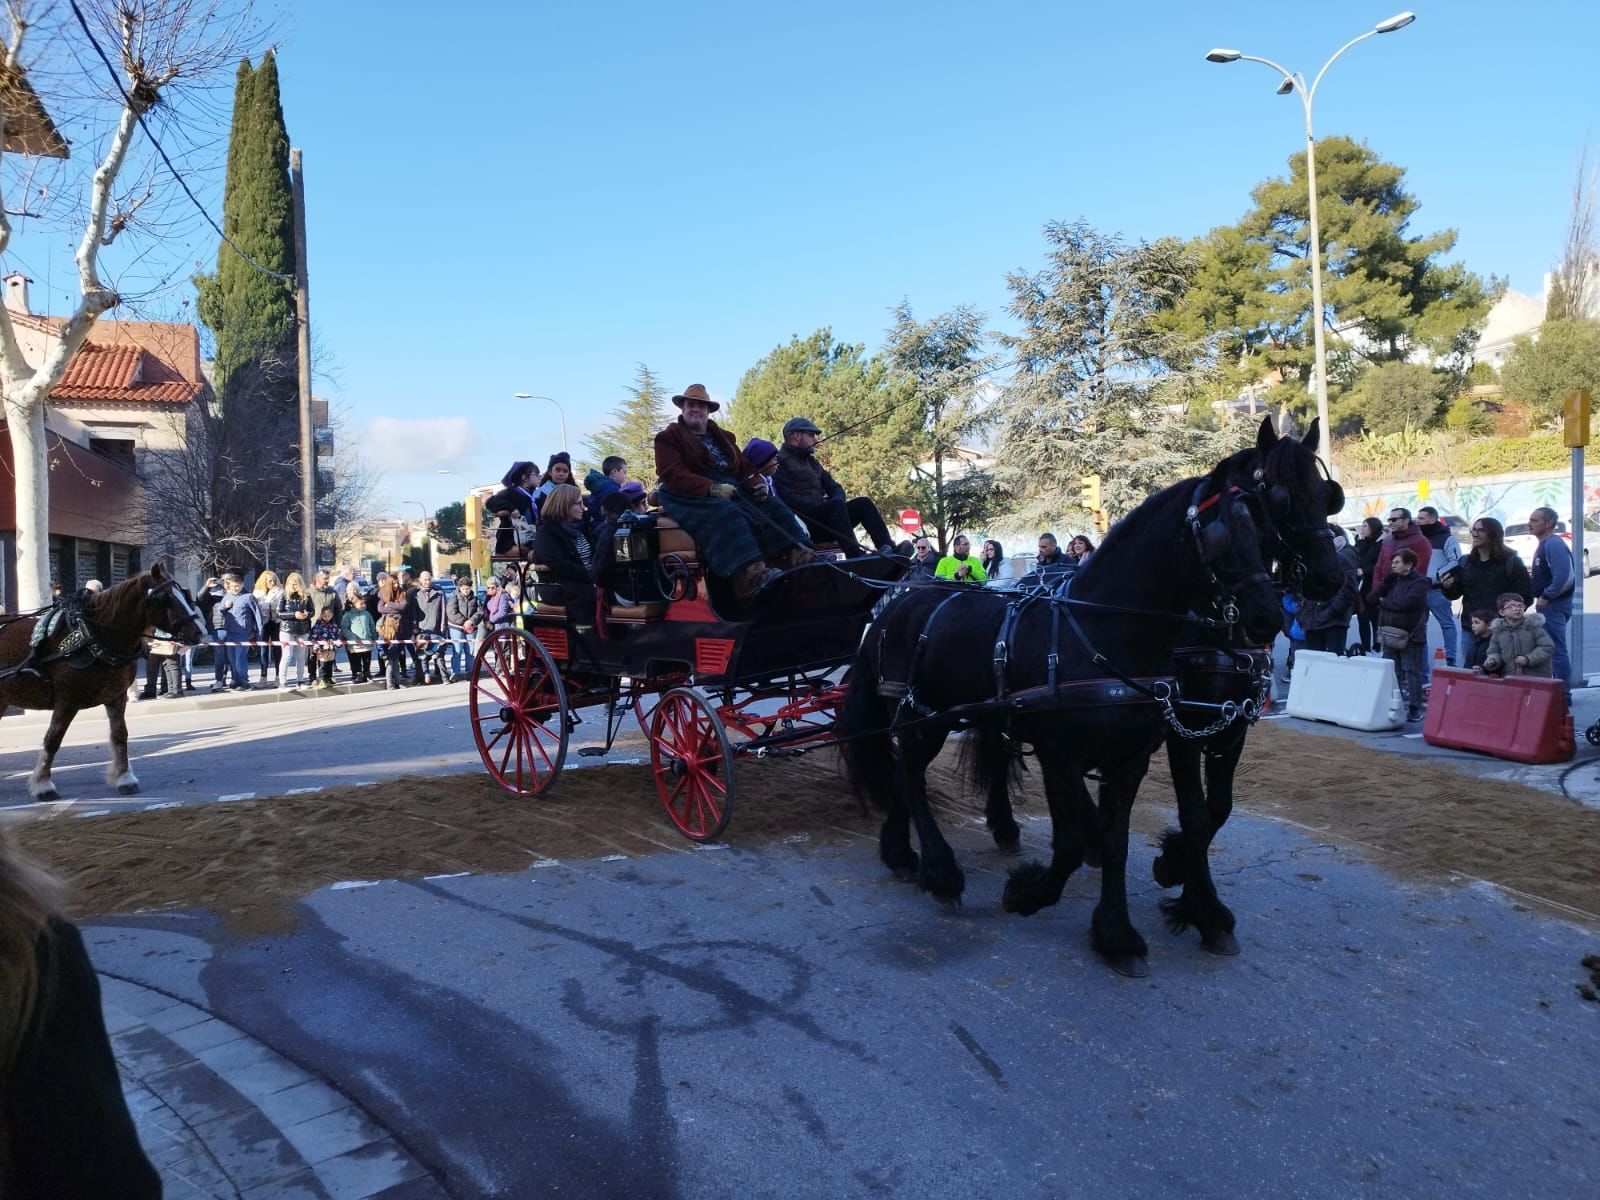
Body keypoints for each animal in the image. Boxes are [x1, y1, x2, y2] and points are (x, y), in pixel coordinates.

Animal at [0, 566, 206, 809]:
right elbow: (53, 739)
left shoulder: (116, 696)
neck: (92, 636)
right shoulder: (67, 701)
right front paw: (43, 785)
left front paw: (125, 778)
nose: (200, 632)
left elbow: (119, 735)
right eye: (166, 598)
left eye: (184, 593)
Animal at [844, 419, 1344, 979]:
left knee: (942, 766)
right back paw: (937, 869)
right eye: (1277, 500)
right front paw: (1033, 893)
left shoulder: (1177, 742)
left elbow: (1141, 830)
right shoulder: (1093, 748)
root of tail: (898, 601)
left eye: (1327, 497)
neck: (1105, 627)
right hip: (920, 715)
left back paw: (927, 846)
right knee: (908, 774)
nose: (1268, 617)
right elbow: (1096, 833)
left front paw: (1131, 924)